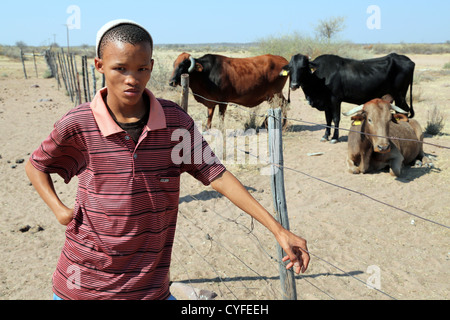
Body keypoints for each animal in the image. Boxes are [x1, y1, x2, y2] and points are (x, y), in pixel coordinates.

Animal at [282, 53, 414, 143]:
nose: (294, 85)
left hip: (400, 95)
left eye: (303, 67)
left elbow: (336, 118)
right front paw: (325, 135)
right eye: (291, 68)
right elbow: (327, 119)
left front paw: (334, 137)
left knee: (404, 112)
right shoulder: (326, 102)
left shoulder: (335, 99)